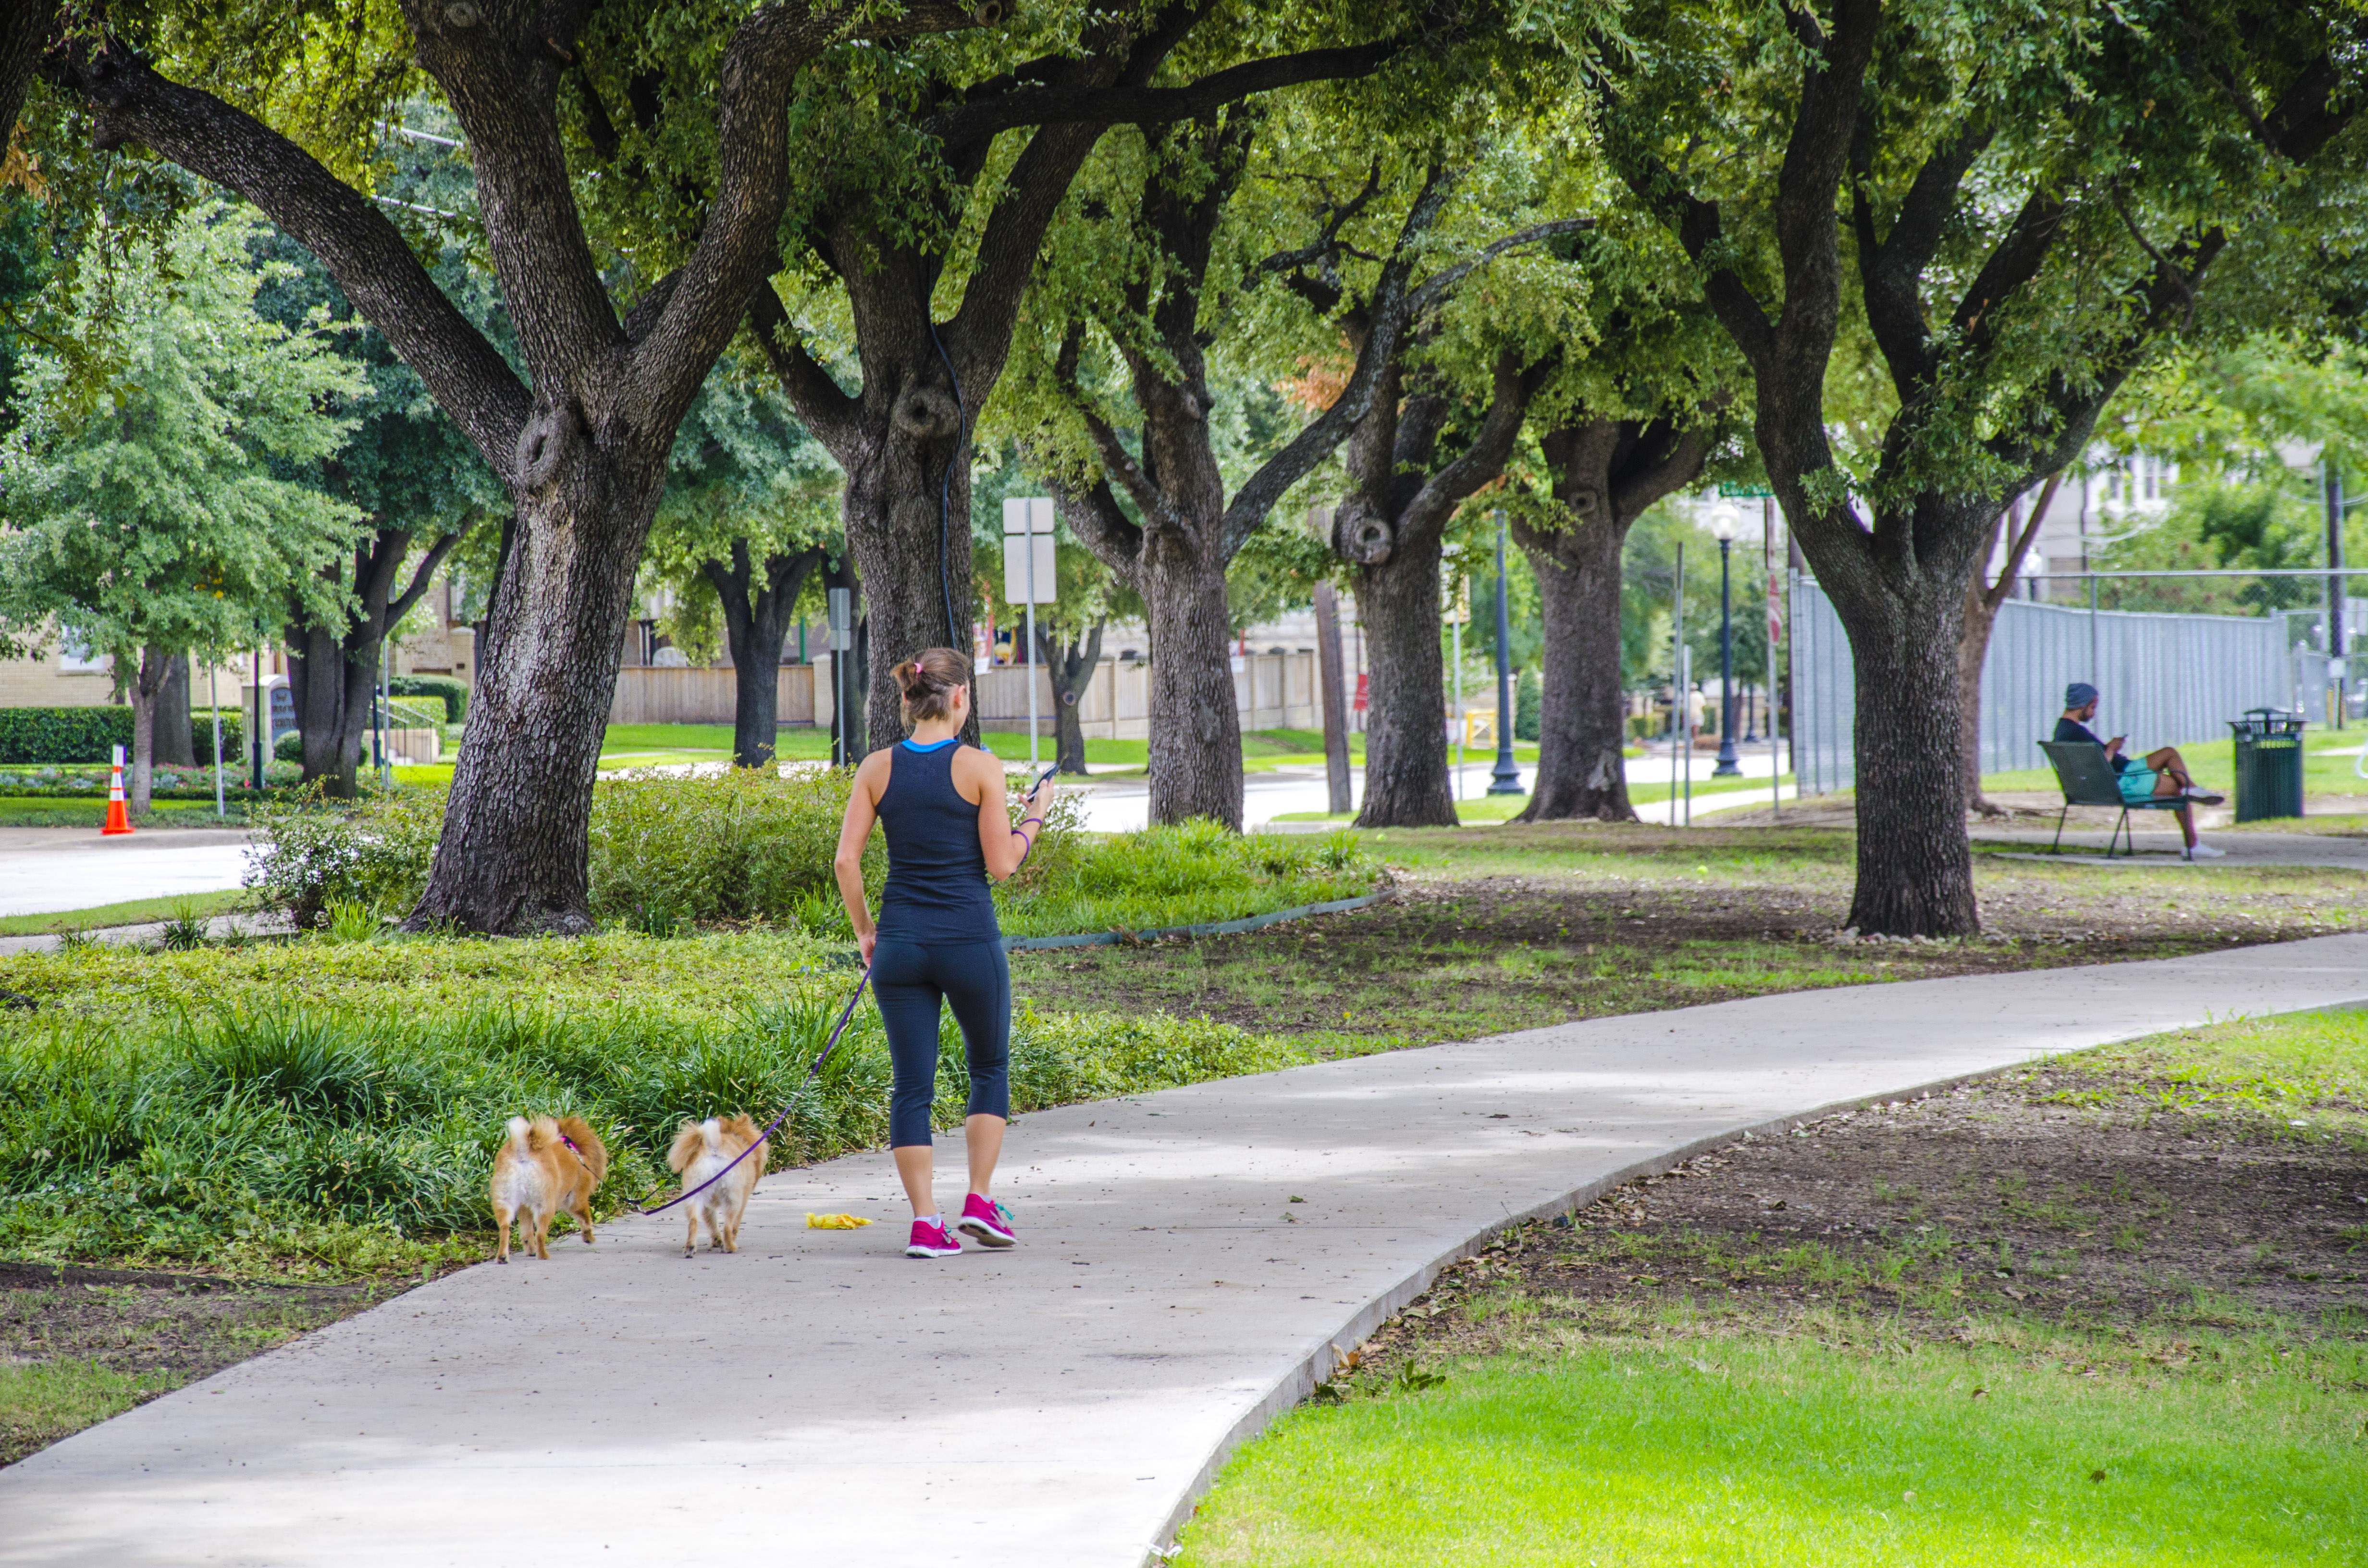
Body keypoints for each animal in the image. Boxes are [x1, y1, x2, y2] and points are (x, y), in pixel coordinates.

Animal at [483, 1118, 606, 1269]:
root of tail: (523, 1152)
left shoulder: (524, 1208)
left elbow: (527, 1233)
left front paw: (530, 1251)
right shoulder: (577, 1200)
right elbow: (586, 1220)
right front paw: (589, 1238)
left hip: (505, 1202)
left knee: (505, 1229)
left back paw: (503, 1257)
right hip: (546, 1205)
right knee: (540, 1235)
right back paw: (543, 1255)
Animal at [667, 1118, 767, 1269]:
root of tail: (713, 1147)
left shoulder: (707, 1207)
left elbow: (712, 1224)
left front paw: (716, 1241)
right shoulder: (743, 1201)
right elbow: (734, 1226)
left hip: (695, 1197)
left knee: (693, 1222)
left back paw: (690, 1249)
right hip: (732, 1200)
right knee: (727, 1227)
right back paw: (730, 1247)